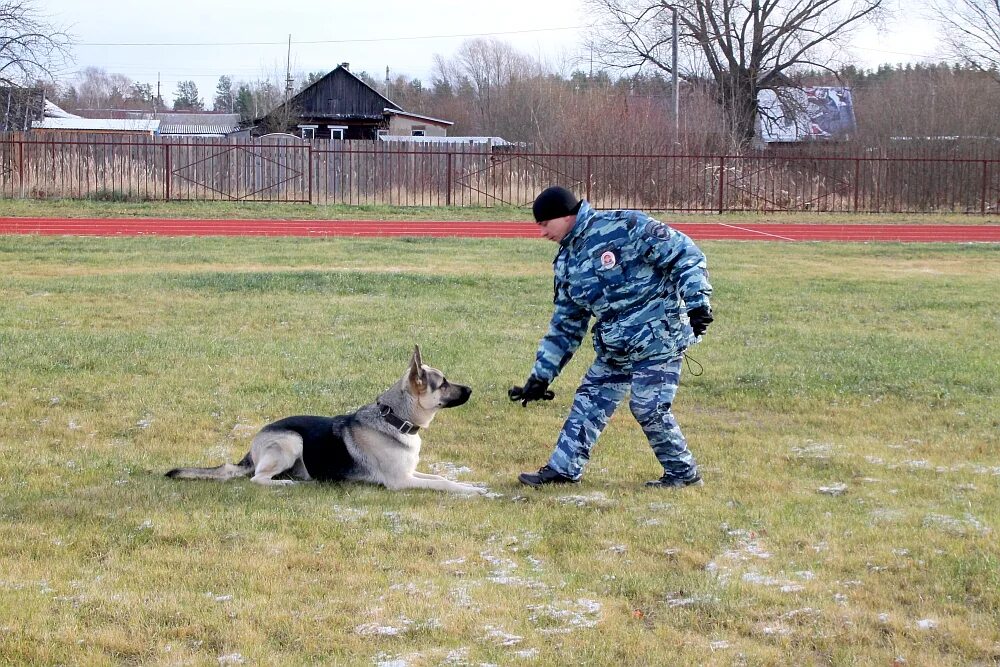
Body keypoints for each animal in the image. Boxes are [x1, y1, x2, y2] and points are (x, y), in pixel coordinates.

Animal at [166, 348, 486, 494]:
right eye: (443, 383)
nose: (471, 389)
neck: (394, 419)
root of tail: (253, 446)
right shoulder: (401, 481)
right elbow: (444, 485)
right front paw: (470, 491)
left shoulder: (411, 472)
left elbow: (441, 478)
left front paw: (474, 485)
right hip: (291, 441)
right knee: (258, 478)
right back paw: (286, 484)